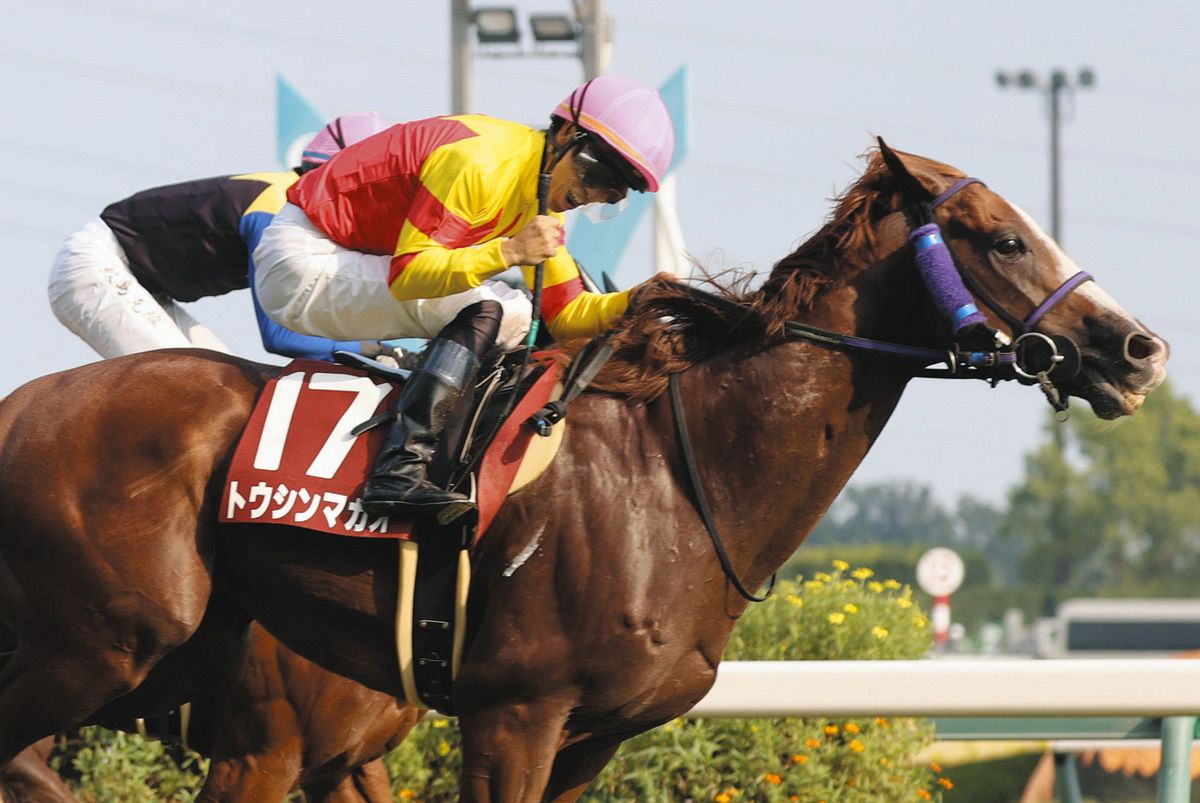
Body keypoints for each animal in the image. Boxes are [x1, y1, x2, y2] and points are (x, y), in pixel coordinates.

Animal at [0, 139, 1166, 801]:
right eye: (1004, 240)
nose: (1138, 348)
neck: (678, 480)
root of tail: (20, 408)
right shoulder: (503, 716)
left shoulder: (588, 738)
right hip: (102, 642)